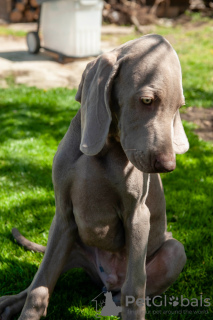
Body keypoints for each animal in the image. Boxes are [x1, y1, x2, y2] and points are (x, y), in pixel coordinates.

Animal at [0, 33, 190, 318]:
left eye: (178, 107)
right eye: (147, 100)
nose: (168, 166)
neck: (106, 149)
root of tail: (107, 280)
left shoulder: (138, 215)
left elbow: (136, 287)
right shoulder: (63, 215)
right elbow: (40, 285)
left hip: (174, 251)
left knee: (131, 288)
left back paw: (116, 306)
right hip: (70, 243)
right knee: (39, 278)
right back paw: (9, 302)